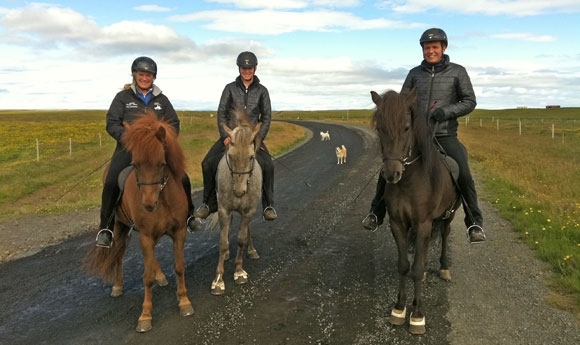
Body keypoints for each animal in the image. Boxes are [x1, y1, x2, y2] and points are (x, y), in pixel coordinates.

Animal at [85, 110, 195, 330]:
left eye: (162, 163)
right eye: (135, 165)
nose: (148, 204)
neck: (162, 199)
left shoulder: (179, 232)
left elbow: (179, 267)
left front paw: (184, 302)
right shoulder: (145, 235)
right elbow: (147, 278)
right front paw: (145, 316)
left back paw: (160, 276)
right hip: (119, 226)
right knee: (118, 254)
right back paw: (118, 286)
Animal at [372, 88, 462, 334]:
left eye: (406, 127)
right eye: (379, 128)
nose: (391, 173)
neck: (410, 181)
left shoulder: (423, 224)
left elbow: (417, 268)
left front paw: (418, 315)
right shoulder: (398, 223)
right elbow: (404, 266)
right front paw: (399, 309)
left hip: (448, 215)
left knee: (445, 235)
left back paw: (444, 268)